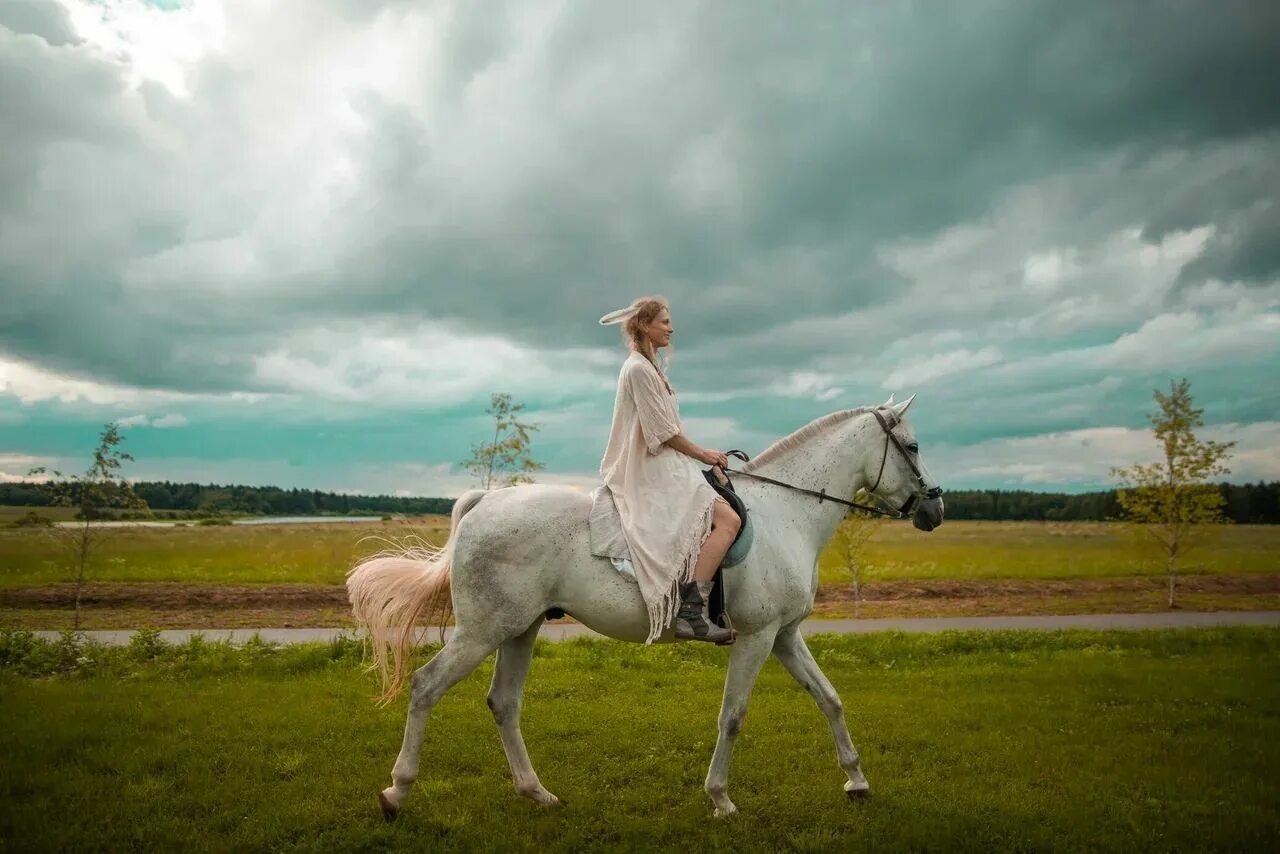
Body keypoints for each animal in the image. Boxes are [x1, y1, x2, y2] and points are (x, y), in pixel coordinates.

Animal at [350, 394, 942, 819]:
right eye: (913, 447)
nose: (934, 510)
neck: (786, 511)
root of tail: (486, 501)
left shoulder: (784, 635)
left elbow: (830, 699)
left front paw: (856, 779)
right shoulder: (756, 637)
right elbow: (733, 716)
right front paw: (721, 798)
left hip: (520, 629)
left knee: (503, 703)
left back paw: (537, 793)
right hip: (482, 631)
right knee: (426, 686)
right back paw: (396, 793)